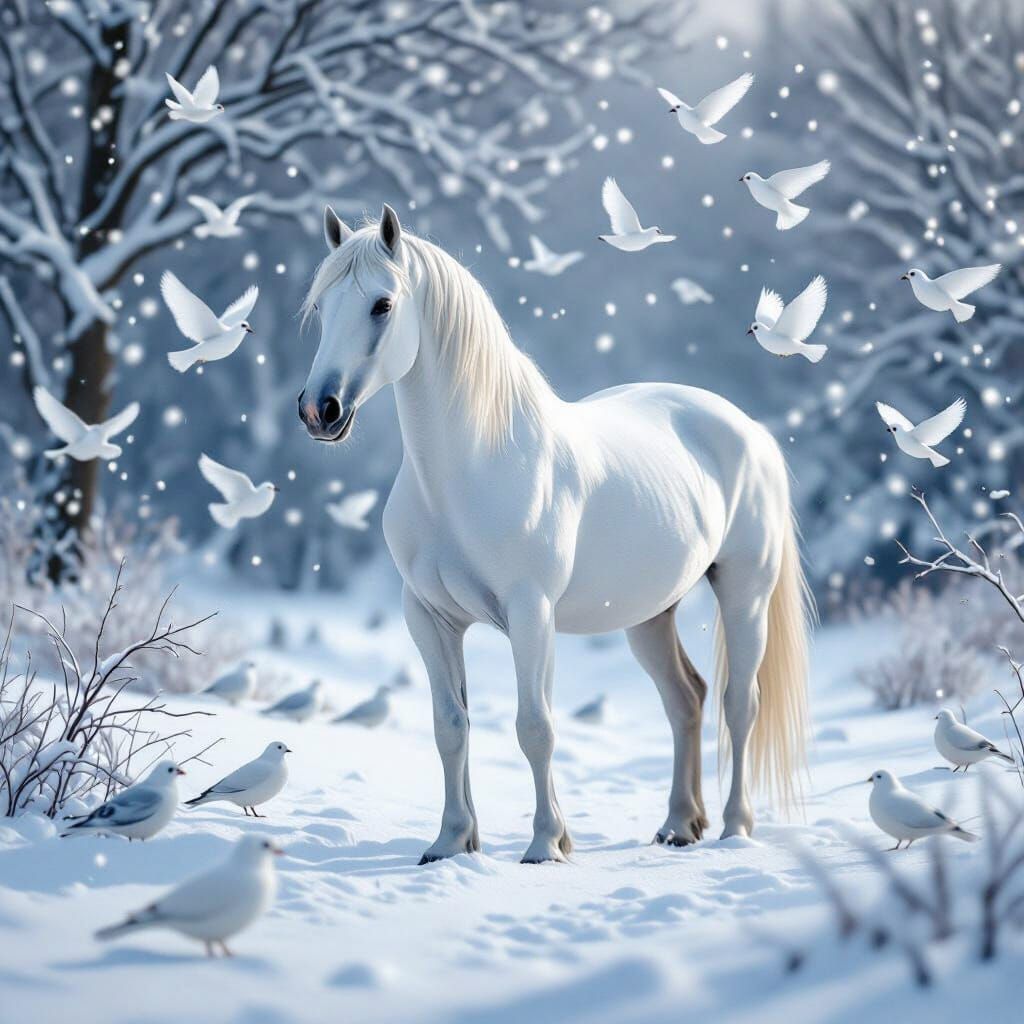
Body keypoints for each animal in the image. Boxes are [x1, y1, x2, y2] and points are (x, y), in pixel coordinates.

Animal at [298, 204, 811, 864]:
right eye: (321, 304)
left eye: (382, 304)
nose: (320, 410)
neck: (469, 468)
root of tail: (749, 428)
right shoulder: (430, 618)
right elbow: (451, 727)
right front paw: (450, 842)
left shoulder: (530, 614)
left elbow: (534, 726)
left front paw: (546, 843)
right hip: (649, 616)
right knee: (686, 699)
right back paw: (678, 824)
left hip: (744, 593)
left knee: (738, 705)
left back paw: (734, 827)